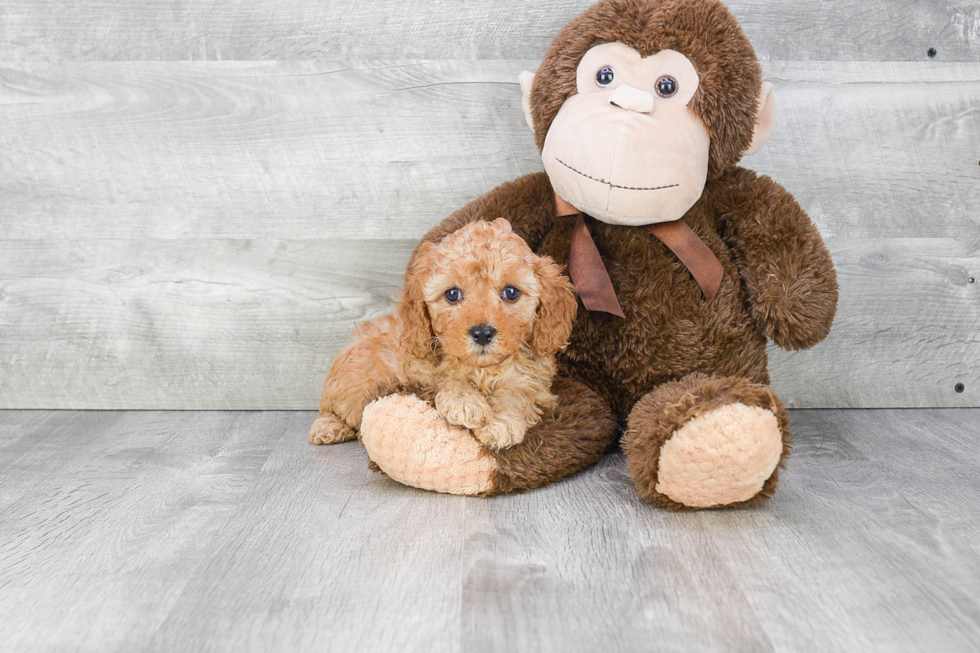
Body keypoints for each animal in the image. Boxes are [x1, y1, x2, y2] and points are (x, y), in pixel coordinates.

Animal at [310, 216, 580, 450]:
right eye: (452, 294)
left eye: (511, 292)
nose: (482, 333)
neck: (483, 370)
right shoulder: (417, 374)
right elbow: (445, 382)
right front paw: (464, 402)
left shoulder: (535, 385)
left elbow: (516, 393)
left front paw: (500, 422)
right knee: (330, 408)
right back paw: (328, 427)